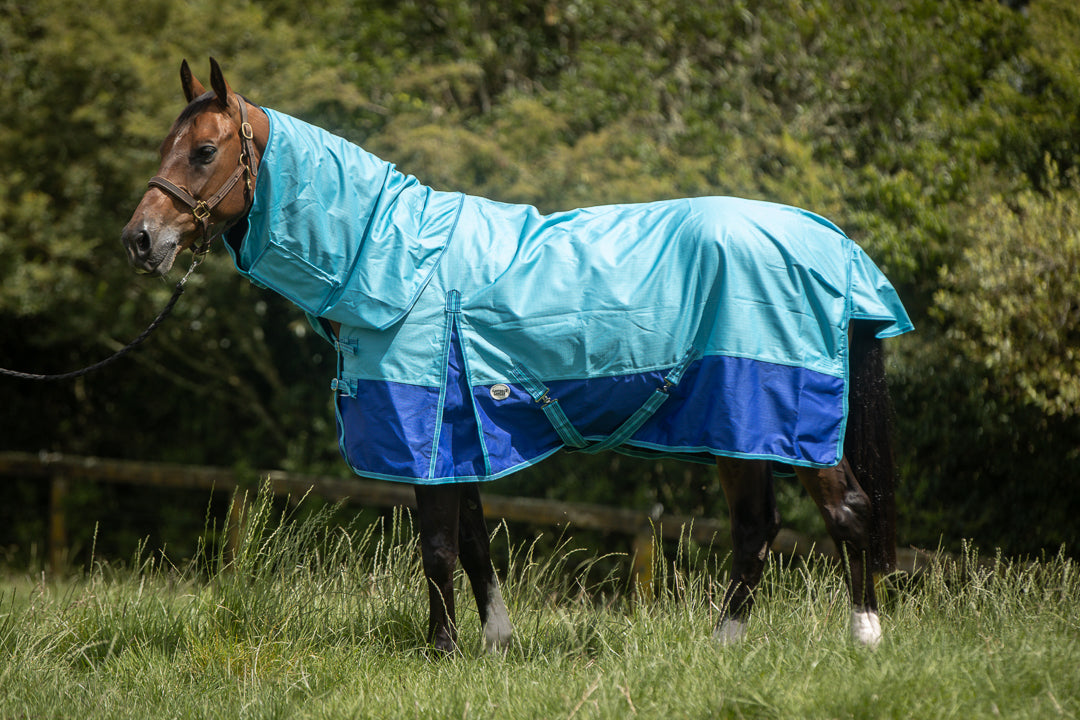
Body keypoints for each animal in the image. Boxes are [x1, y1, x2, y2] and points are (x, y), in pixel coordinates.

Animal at [122, 59, 912, 654]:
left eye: (203, 151)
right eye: (163, 147)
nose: (140, 239)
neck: (398, 259)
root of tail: (832, 245)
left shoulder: (425, 431)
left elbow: (438, 546)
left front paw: (440, 652)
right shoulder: (458, 434)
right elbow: (473, 542)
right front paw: (495, 641)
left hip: (781, 418)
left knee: (847, 512)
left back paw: (865, 638)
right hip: (738, 431)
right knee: (756, 531)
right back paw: (723, 646)